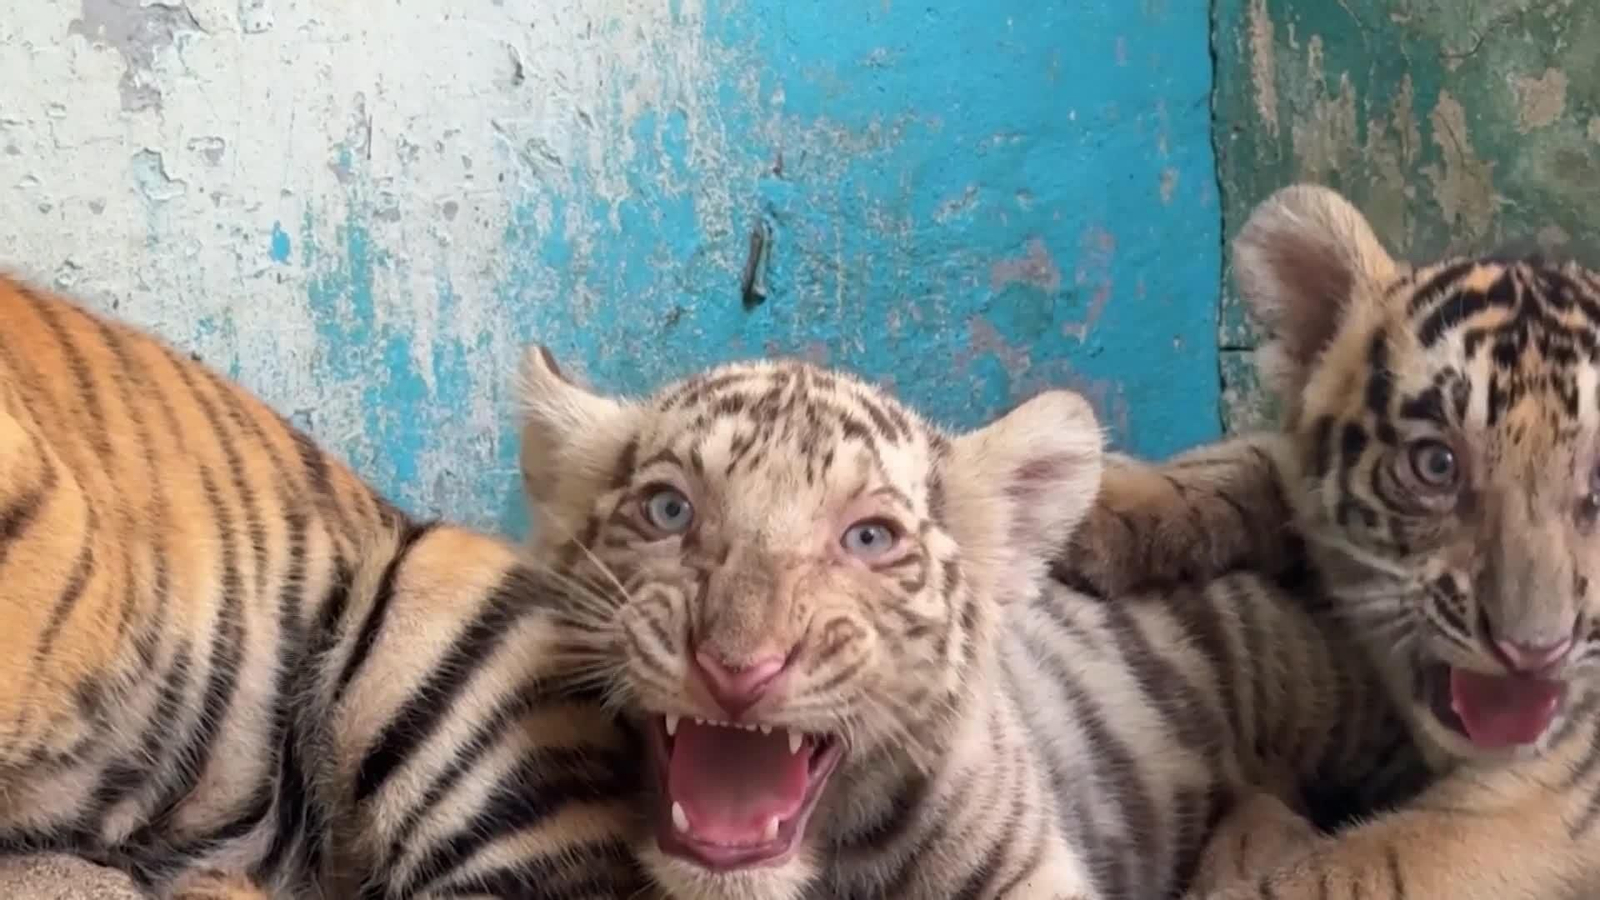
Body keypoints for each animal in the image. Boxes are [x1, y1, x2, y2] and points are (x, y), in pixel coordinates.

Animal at [1067, 182, 1600, 900]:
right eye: (1437, 465)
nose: (1534, 652)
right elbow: (1238, 459)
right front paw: (1093, 505)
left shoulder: (1537, 812)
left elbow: (1346, 873)